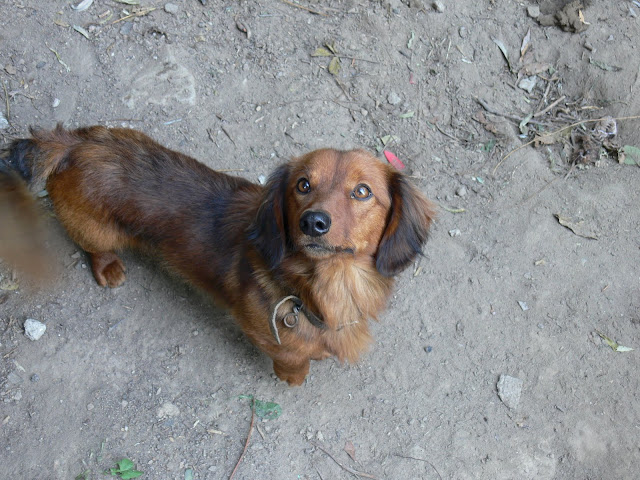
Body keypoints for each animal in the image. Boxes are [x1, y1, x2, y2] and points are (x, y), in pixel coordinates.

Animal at [0, 125, 435, 385]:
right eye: (303, 185)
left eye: (362, 191)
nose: (313, 222)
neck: (323, 284)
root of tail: (75, 142)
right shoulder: (266, 334)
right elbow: (294, 359)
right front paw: (294, 376)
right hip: (95, 229)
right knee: (93, 247)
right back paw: (108, 267)